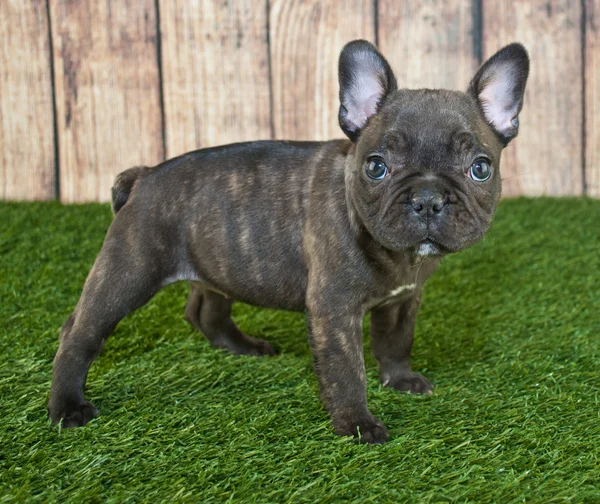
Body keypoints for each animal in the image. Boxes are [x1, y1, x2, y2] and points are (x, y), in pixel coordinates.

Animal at [47, 39, 528, 442]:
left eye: (480, 168)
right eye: (376, 167)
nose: (428, 199)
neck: (396, 254)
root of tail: (143, 175)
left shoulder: (402, 301)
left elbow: (395, 342)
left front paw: (400, 380)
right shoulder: (334, 310)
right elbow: (346, 370)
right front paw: (357, 424)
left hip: (216, 260)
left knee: (204, 309)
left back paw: (244, 348)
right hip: (129, 268)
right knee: (80, 331)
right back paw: (66, 407)